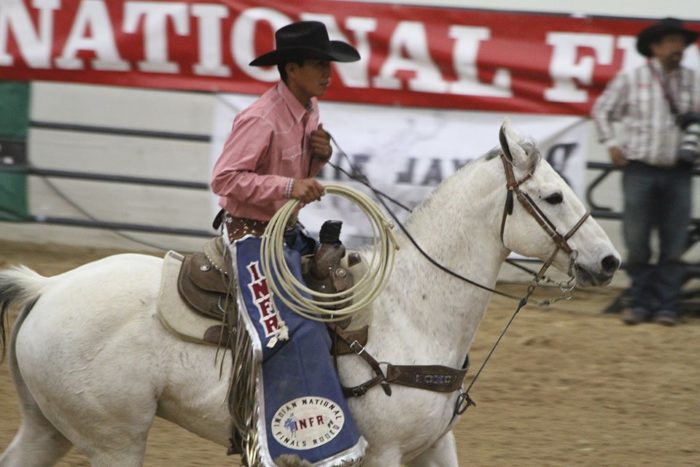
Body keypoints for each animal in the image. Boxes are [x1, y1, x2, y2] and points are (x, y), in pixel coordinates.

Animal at [0, 124, 616, 467]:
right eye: (554, 196)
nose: (609, 262)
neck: (413, 314)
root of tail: (49, 287)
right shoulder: (384, 454)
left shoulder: (434, 447)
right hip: (115, 440)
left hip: (50, 428)